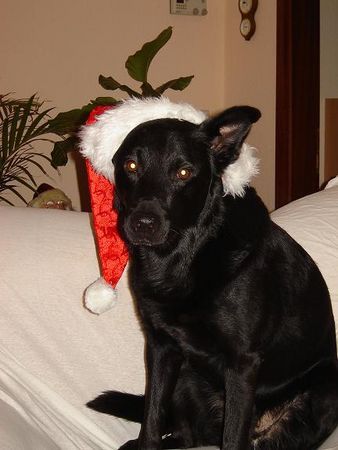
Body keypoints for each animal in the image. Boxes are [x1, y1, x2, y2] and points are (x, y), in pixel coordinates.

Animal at [88, 106, 338, 450]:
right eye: (131, 165)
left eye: (183, 173)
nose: (143, 224)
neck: (181, 258)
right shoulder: (161, 348)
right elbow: (151, 420)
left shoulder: (242, 363)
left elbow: (232, 438)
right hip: (186, 375)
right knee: (186, 435)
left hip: (322, 393)